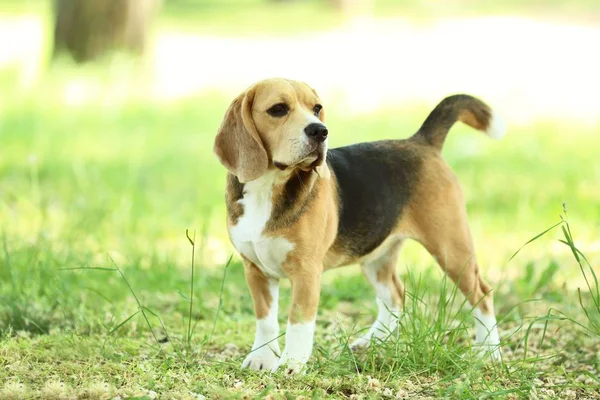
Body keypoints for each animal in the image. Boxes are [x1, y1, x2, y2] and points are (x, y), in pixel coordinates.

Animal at [213, 78, 504, 376]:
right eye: (278, 109)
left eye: (317, 109)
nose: (320, 131)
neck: (268, 186)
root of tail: (422, 141)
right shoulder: (255, 270)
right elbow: (266, 320)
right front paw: (261, 358)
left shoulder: (306, 272)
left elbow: (298, 321)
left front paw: (292, 364)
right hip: (378, 254)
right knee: (394, 295)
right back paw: (372, 341)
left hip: (450, 247)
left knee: (482, 294)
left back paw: (488, 352)